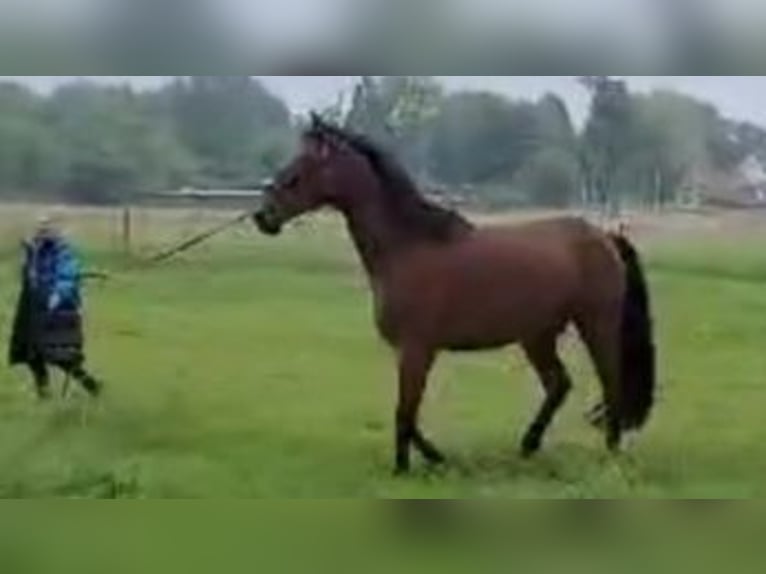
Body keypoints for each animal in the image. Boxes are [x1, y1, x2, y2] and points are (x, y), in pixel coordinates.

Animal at [255, 116, 656, 476]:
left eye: (300, 168)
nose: (263, 216)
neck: (407, 247)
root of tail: (605, 236)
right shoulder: (411, 352)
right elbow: (408, 413)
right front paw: (435, 458)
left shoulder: (417, 350)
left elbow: (404, 412)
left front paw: (402, 469)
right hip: (537, 335)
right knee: (559, 384)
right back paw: (528, 445)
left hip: (595, 325)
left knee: (610, 382)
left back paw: (610, 452)